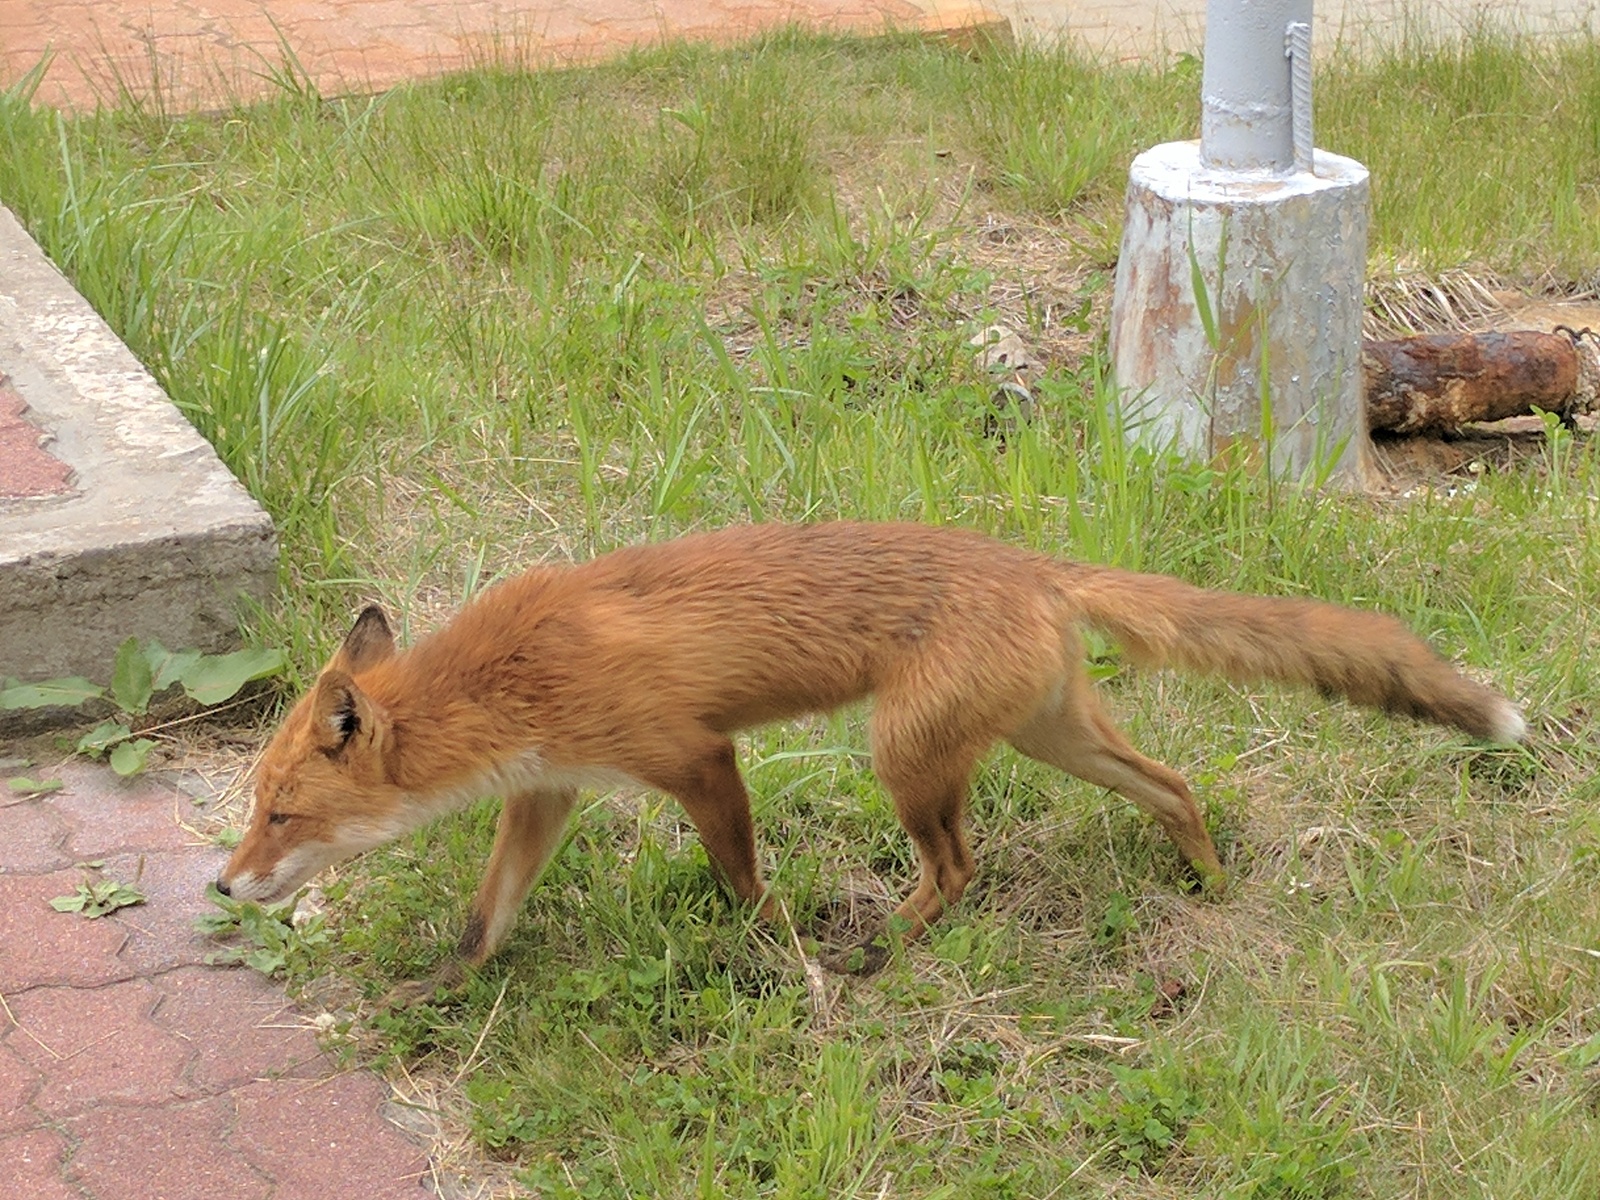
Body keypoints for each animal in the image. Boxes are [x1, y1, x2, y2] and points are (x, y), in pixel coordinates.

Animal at [216, 524, 1523, 985]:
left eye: (278, 814)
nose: (221, 886)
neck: (515, 677)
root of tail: (1031, 564)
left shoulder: (695, 757)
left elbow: (743, 884)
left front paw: (776, 960)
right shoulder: (547, 793)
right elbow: (487, 918)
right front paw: (444, 989)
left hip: (900, 759)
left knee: (959, 868)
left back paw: (874, 953)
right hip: (1052, 735)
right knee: (1175, 788)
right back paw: (1206, 888)